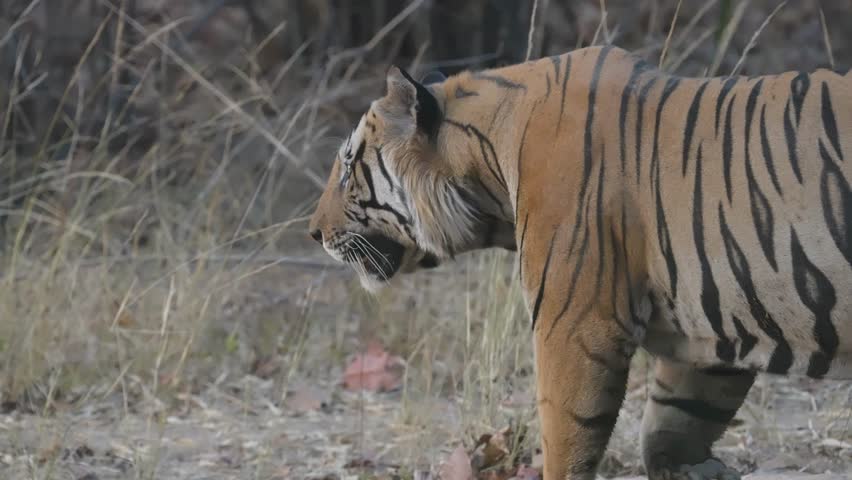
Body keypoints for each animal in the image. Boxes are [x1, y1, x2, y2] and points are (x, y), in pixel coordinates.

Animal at [308, 45, 852, 480]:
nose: (313, 232)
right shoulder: (713, 327)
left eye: (349, 167)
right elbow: (672, 429)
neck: (486, 163)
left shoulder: (575, 324)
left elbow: (566, 437)